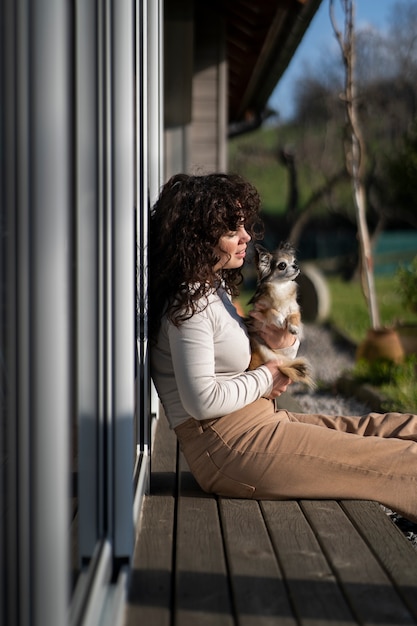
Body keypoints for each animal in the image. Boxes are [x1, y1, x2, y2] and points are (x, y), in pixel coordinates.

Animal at [245, 241, 314, 388]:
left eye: (294, 261)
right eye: (282, 265)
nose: (296, 266)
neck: (281, 287)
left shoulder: (294, 308)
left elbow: (294, 316)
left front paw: (293, 327)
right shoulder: (259, 310)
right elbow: (270, 310)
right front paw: (280, 320)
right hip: (259, 343)